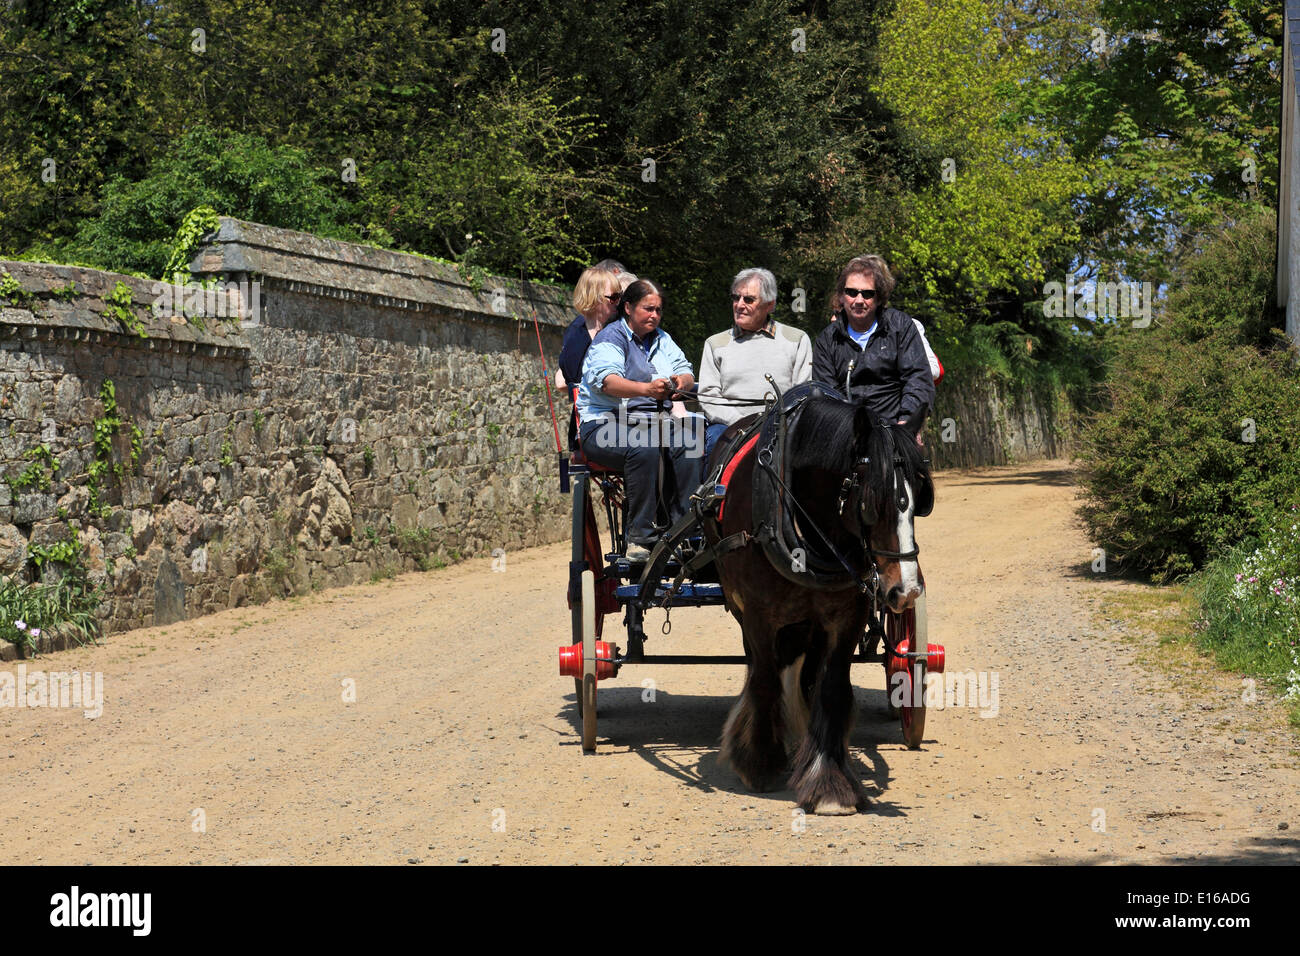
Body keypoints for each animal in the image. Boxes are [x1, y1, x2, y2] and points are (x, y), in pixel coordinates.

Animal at [702, 385, 935, 816]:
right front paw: (761, 762)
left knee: (806, 672)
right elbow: (764, 681)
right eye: (872, 501)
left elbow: (832, 686)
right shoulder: (758, 613)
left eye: (920, 500)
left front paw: (829, 783)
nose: (907, 590)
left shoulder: (848, 614)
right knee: (764, 668)